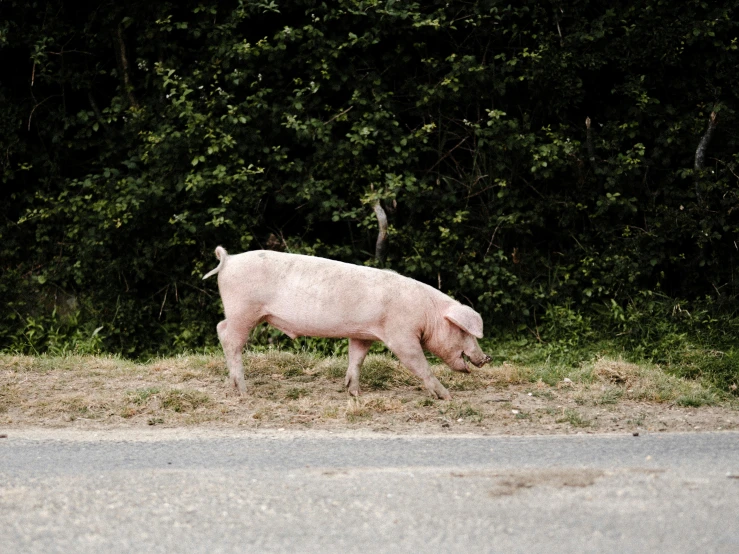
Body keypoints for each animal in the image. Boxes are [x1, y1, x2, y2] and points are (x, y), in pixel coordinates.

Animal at [202, 246, 492, 396]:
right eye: (464, 332)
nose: (486, 358)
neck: (426, 313)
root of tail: (228, 260)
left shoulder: (362, 334)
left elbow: (357, 358)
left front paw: (353, 392)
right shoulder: (401, 335)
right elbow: (418, 363)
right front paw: (446, 396)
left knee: (222, 330)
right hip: (243, 310)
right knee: (227, 335)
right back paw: (243, 391)